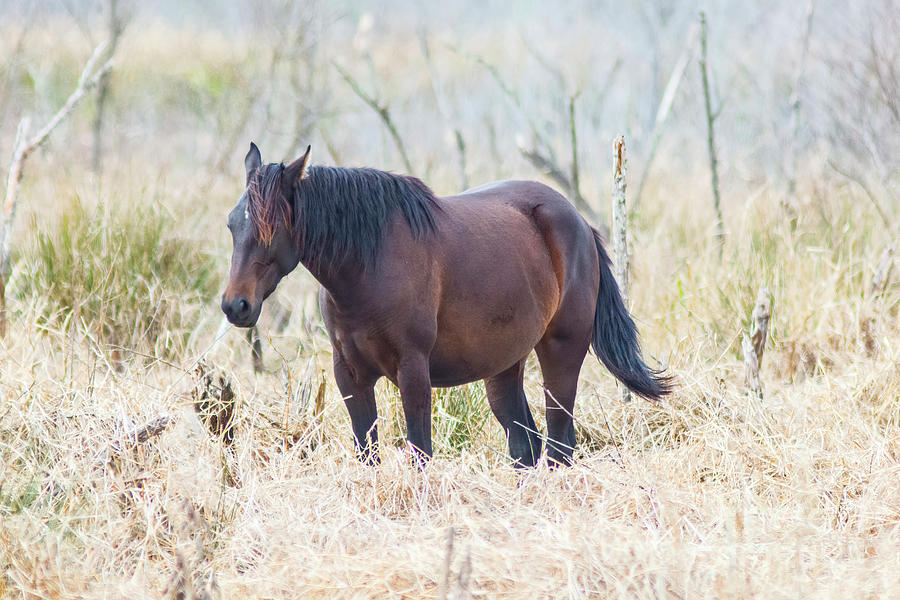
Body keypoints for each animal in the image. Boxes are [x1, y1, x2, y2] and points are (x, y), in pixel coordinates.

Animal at [220, 143, 668, 466]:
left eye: (273, 227)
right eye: (232, 224)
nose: (235, 306)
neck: (368, 265)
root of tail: (577, 221)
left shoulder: (413, 372)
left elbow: (421, 453)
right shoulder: (350, 376)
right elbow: (369, 455)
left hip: (561, 354)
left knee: (559, 445)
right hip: (504, 367)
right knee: (527, 447)